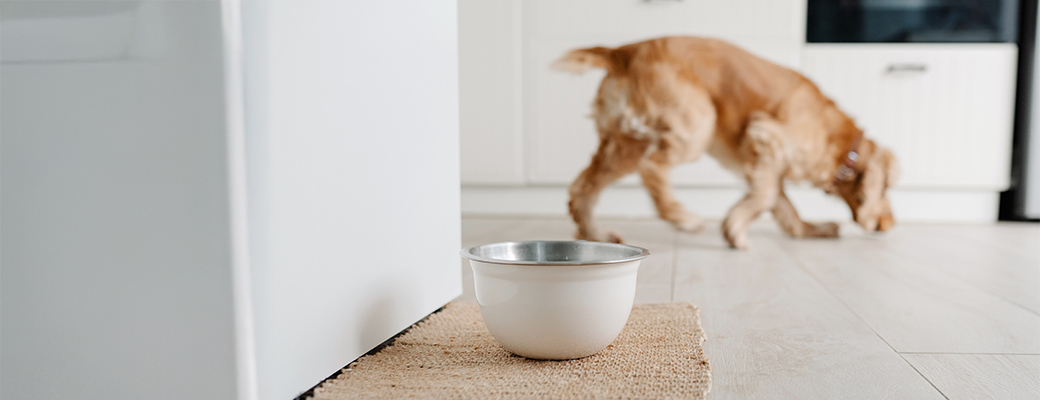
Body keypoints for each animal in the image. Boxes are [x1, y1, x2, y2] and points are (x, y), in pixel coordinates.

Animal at [553, 38, 902, 249]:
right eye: (886, 189)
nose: (888, 224)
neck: (838, 138)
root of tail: (623, 52)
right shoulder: (767, 137)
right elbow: (767, 197)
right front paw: (734, 230)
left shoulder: (765, 162)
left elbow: (782, 204)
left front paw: (813, 230)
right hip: (696, 124)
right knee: (653, 167)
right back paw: (685, 219)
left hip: (624, 145)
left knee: (583, 189)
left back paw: (595, 236)